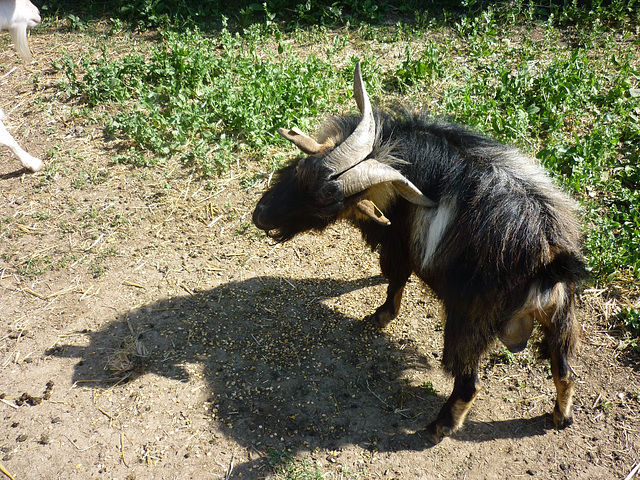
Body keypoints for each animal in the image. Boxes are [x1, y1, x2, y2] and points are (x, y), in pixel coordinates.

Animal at [252, 62, 588, 442]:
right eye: (299, 170)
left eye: (327, 208)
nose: (260, 217)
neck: (404, 158)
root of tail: (550, 260)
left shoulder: (398, 244)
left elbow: (396, 279)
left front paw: (380, 316)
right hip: (561, 313)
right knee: (565, 370)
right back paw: (561, 417)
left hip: (468, 320)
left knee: (469, 382)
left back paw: (438, 427)